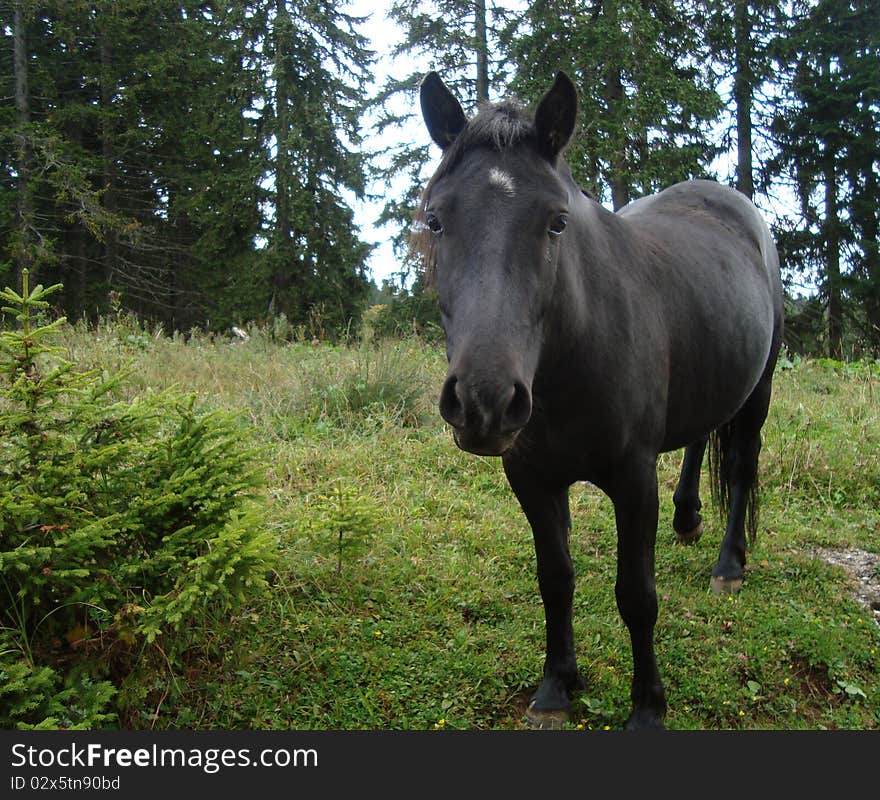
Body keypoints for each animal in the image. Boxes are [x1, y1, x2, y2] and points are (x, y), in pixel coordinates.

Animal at [416, 72, 780, 728]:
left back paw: (728, 564)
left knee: (741, 467)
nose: (485, 400)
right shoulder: (530, 476)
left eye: (557, 222)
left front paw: (647, 707)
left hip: (758, 390)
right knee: (698, 438)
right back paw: (688, 519)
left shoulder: (633, 479)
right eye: (435, 220)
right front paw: (557, 685)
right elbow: (555, 578)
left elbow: (636, 596)